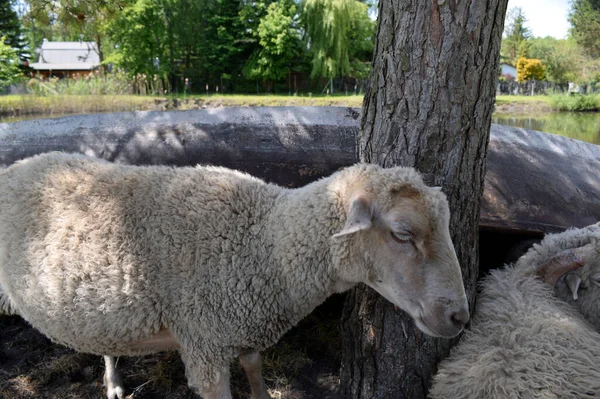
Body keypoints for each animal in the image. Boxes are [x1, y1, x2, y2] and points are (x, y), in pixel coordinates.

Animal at [0, 153, 468, 399]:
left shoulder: (244, 327)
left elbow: (256, 372)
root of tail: (18, 164)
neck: (264, 243)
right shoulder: (204, 346)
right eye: (402, 233)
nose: (460, 317)